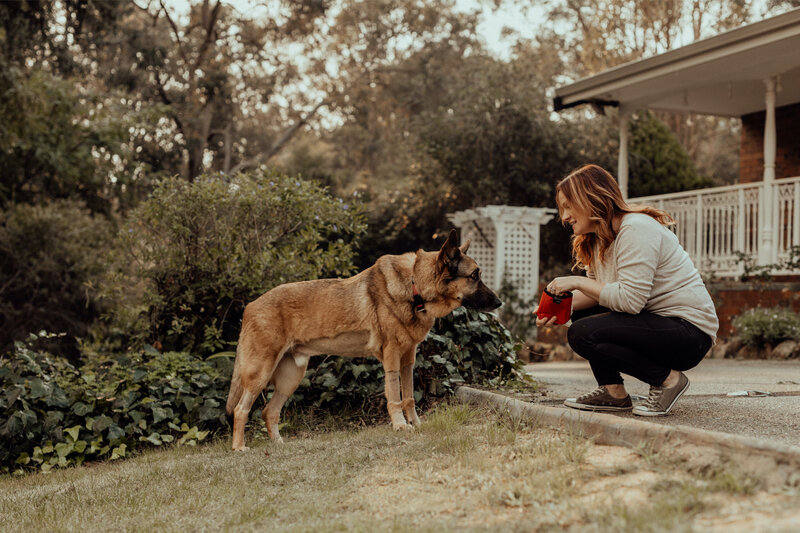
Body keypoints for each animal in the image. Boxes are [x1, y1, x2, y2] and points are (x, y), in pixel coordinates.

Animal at [225, 229, 500, 448]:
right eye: (474, 276)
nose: (500, 303)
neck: (415, 286)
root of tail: (249, 307)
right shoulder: (392, 357)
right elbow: (395, 397)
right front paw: (400, 425)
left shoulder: (408, 359)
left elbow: (409, 397)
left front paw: (416, 424)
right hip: (261, 374)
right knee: (241, 410)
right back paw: (239, 448)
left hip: (290, 378)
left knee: (268, 412)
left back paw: (279, 445)